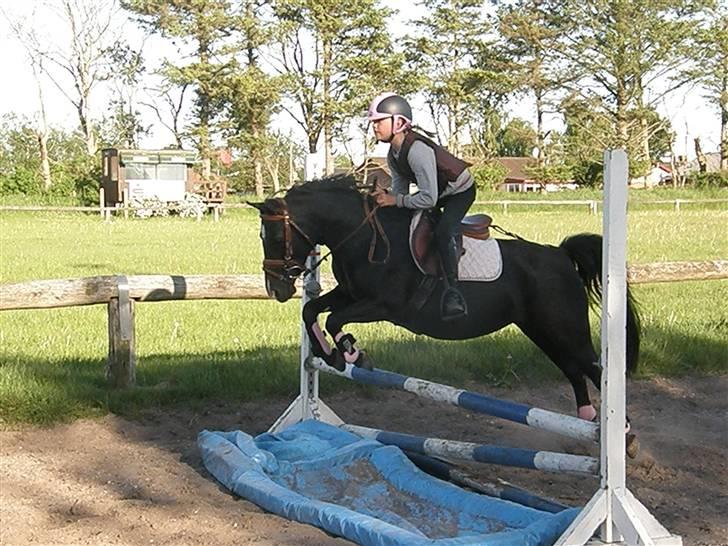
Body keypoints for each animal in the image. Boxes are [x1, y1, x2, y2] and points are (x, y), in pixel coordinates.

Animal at [253, 175, 640, 442]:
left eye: (275, 237)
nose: (277, 289)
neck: (364, 235)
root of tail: (560, 254)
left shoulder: (385, 305)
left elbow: (335, 320)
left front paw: (350, 352)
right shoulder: (350, 294)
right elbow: (312, 312)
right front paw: (330, 354)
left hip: (564, 327)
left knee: (592, 367)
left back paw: (622, 435)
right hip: (541, 329)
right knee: (574, 369)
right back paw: (588, 419)